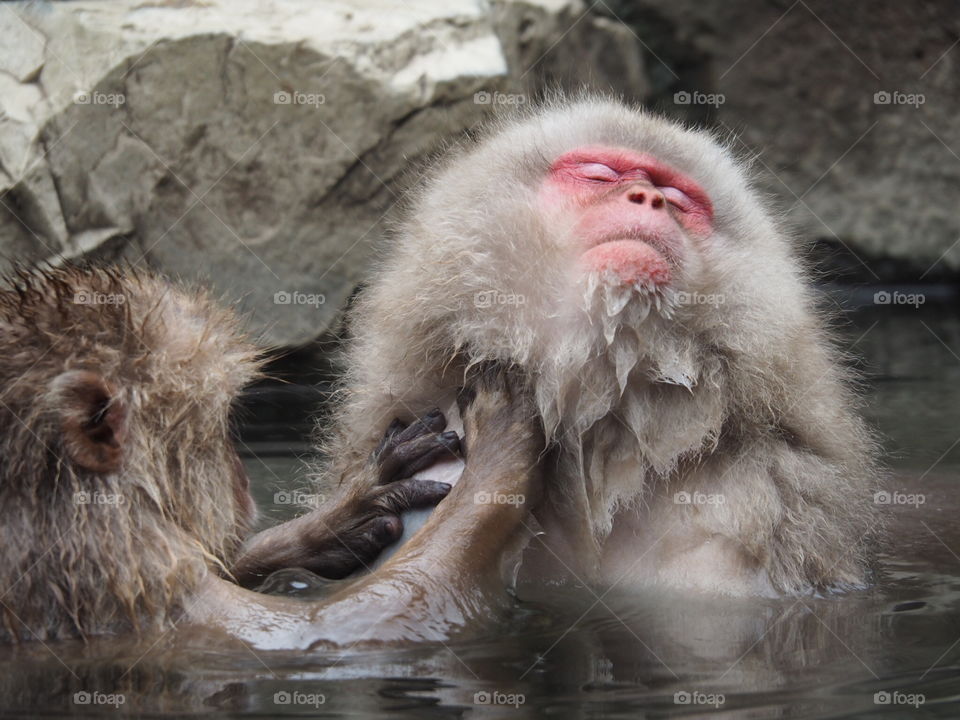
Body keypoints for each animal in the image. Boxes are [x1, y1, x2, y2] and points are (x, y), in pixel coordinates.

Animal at [0, 265, 541, 646]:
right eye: (218, 427)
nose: (240, 476)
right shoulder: (132, 572)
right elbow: (338, 627)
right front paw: (498, 448)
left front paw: (346, 514)